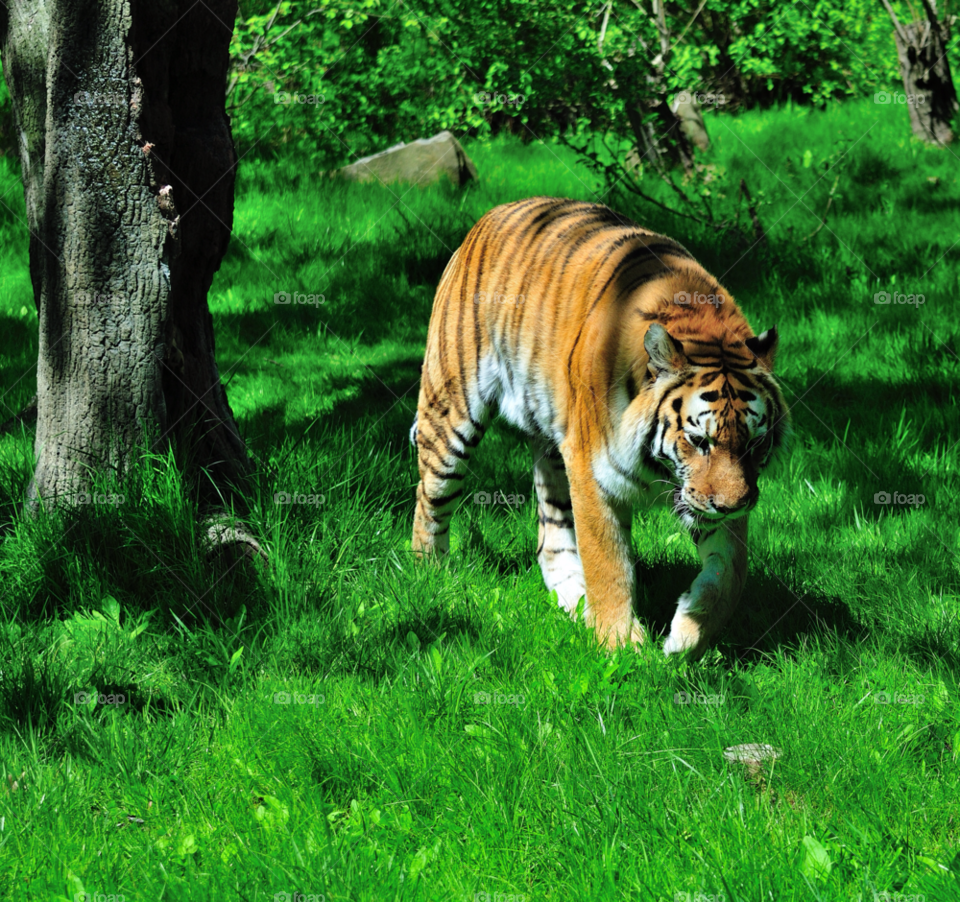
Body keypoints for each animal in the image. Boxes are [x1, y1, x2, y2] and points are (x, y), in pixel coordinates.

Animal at [410, 196, 789, 657]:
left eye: (755, 445)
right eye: (699, 441)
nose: (731, 506)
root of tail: (492, 213)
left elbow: (731, 574)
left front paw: (685, 639)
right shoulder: (592, 472)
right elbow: (607, 560)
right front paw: (621, 645)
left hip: (552, 449)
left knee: (550, 538)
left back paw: (575, 604)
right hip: (451, 413)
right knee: (429, 500)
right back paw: (431, 580)